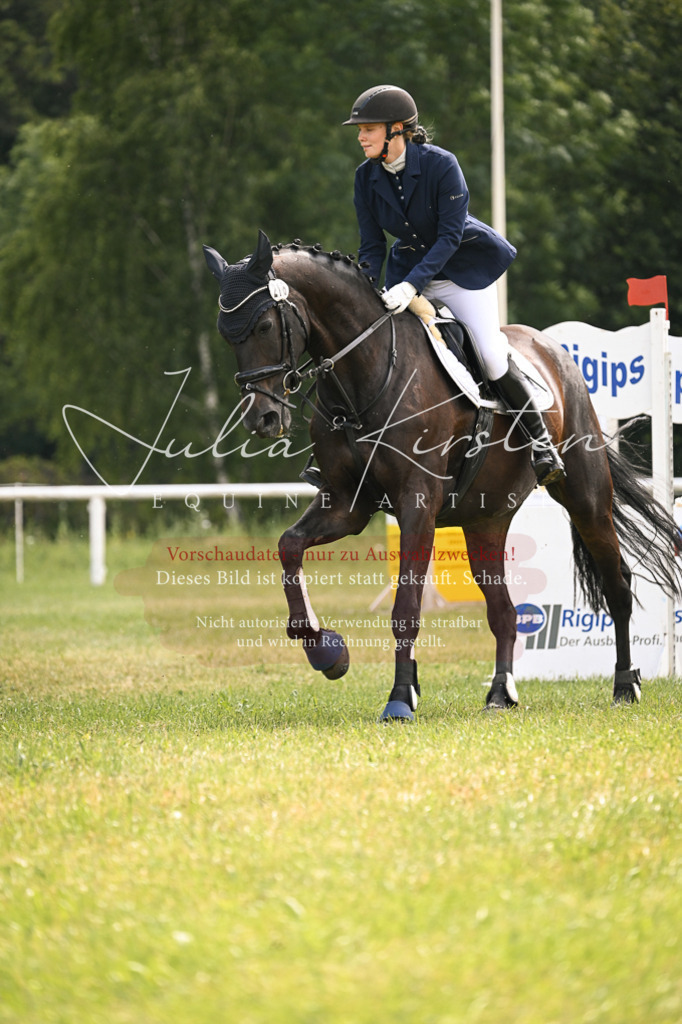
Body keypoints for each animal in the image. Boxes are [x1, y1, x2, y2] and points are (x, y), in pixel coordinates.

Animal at [203, 230, 681, 719]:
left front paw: (399, 697)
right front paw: (326, 650)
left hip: (585, 496)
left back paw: (625, 684)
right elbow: (289, 546)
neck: (366, 373)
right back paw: (501, 693)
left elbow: (406, 608)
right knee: (504, 612)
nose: (261, 420)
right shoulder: (346, 504)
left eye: (264, 326)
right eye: (226, 334)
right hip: (485, 521)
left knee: (617, 586)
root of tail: (552, 351)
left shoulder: (417, 504)